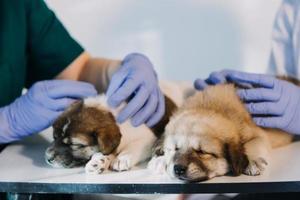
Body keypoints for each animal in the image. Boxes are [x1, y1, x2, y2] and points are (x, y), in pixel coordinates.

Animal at [44, 81, 189, 173]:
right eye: (54, 137)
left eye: (74, 144)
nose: (47, 158)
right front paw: (99, 161)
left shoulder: (148, 138)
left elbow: (133, 147)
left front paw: (121, 158)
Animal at [149, 81, 294, 183]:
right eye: (175, 148)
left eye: (202, 152)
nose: (178, 169)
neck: (209, 107)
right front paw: (159, 160)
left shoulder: (258, 134)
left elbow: (253, 144)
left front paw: (252, 161)